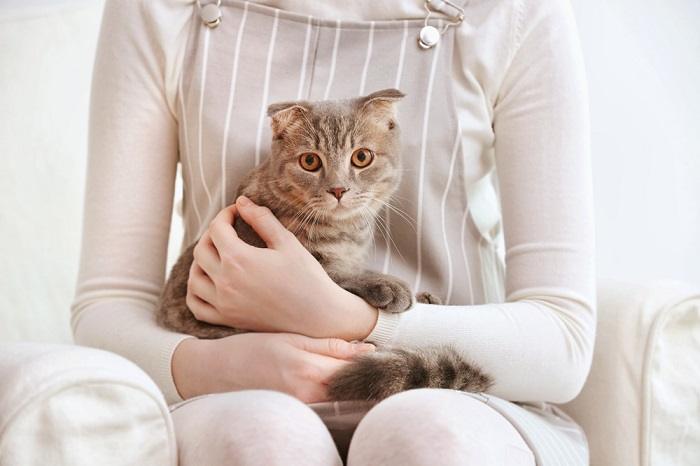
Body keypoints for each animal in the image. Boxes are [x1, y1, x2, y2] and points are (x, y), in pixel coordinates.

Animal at [154, 90, 492, 400]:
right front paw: (387, 284)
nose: (338, 189)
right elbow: (336, 277)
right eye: (309, 161)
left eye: (362, 157)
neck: (346, 233)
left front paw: (428, 297)